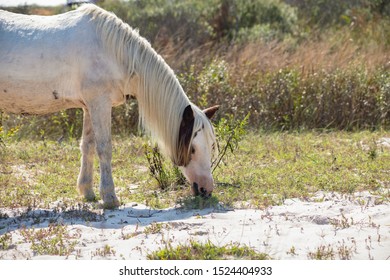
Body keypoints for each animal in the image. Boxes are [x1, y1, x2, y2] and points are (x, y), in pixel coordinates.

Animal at [0, 4, 219, 208]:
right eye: (192, 149)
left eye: (211, 145)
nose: (207, 189)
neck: (114, 52)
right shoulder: (100, 103)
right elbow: (104, 148)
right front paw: (110, 198)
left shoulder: (89, 106)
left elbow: (87, 146)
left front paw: (87, 192)